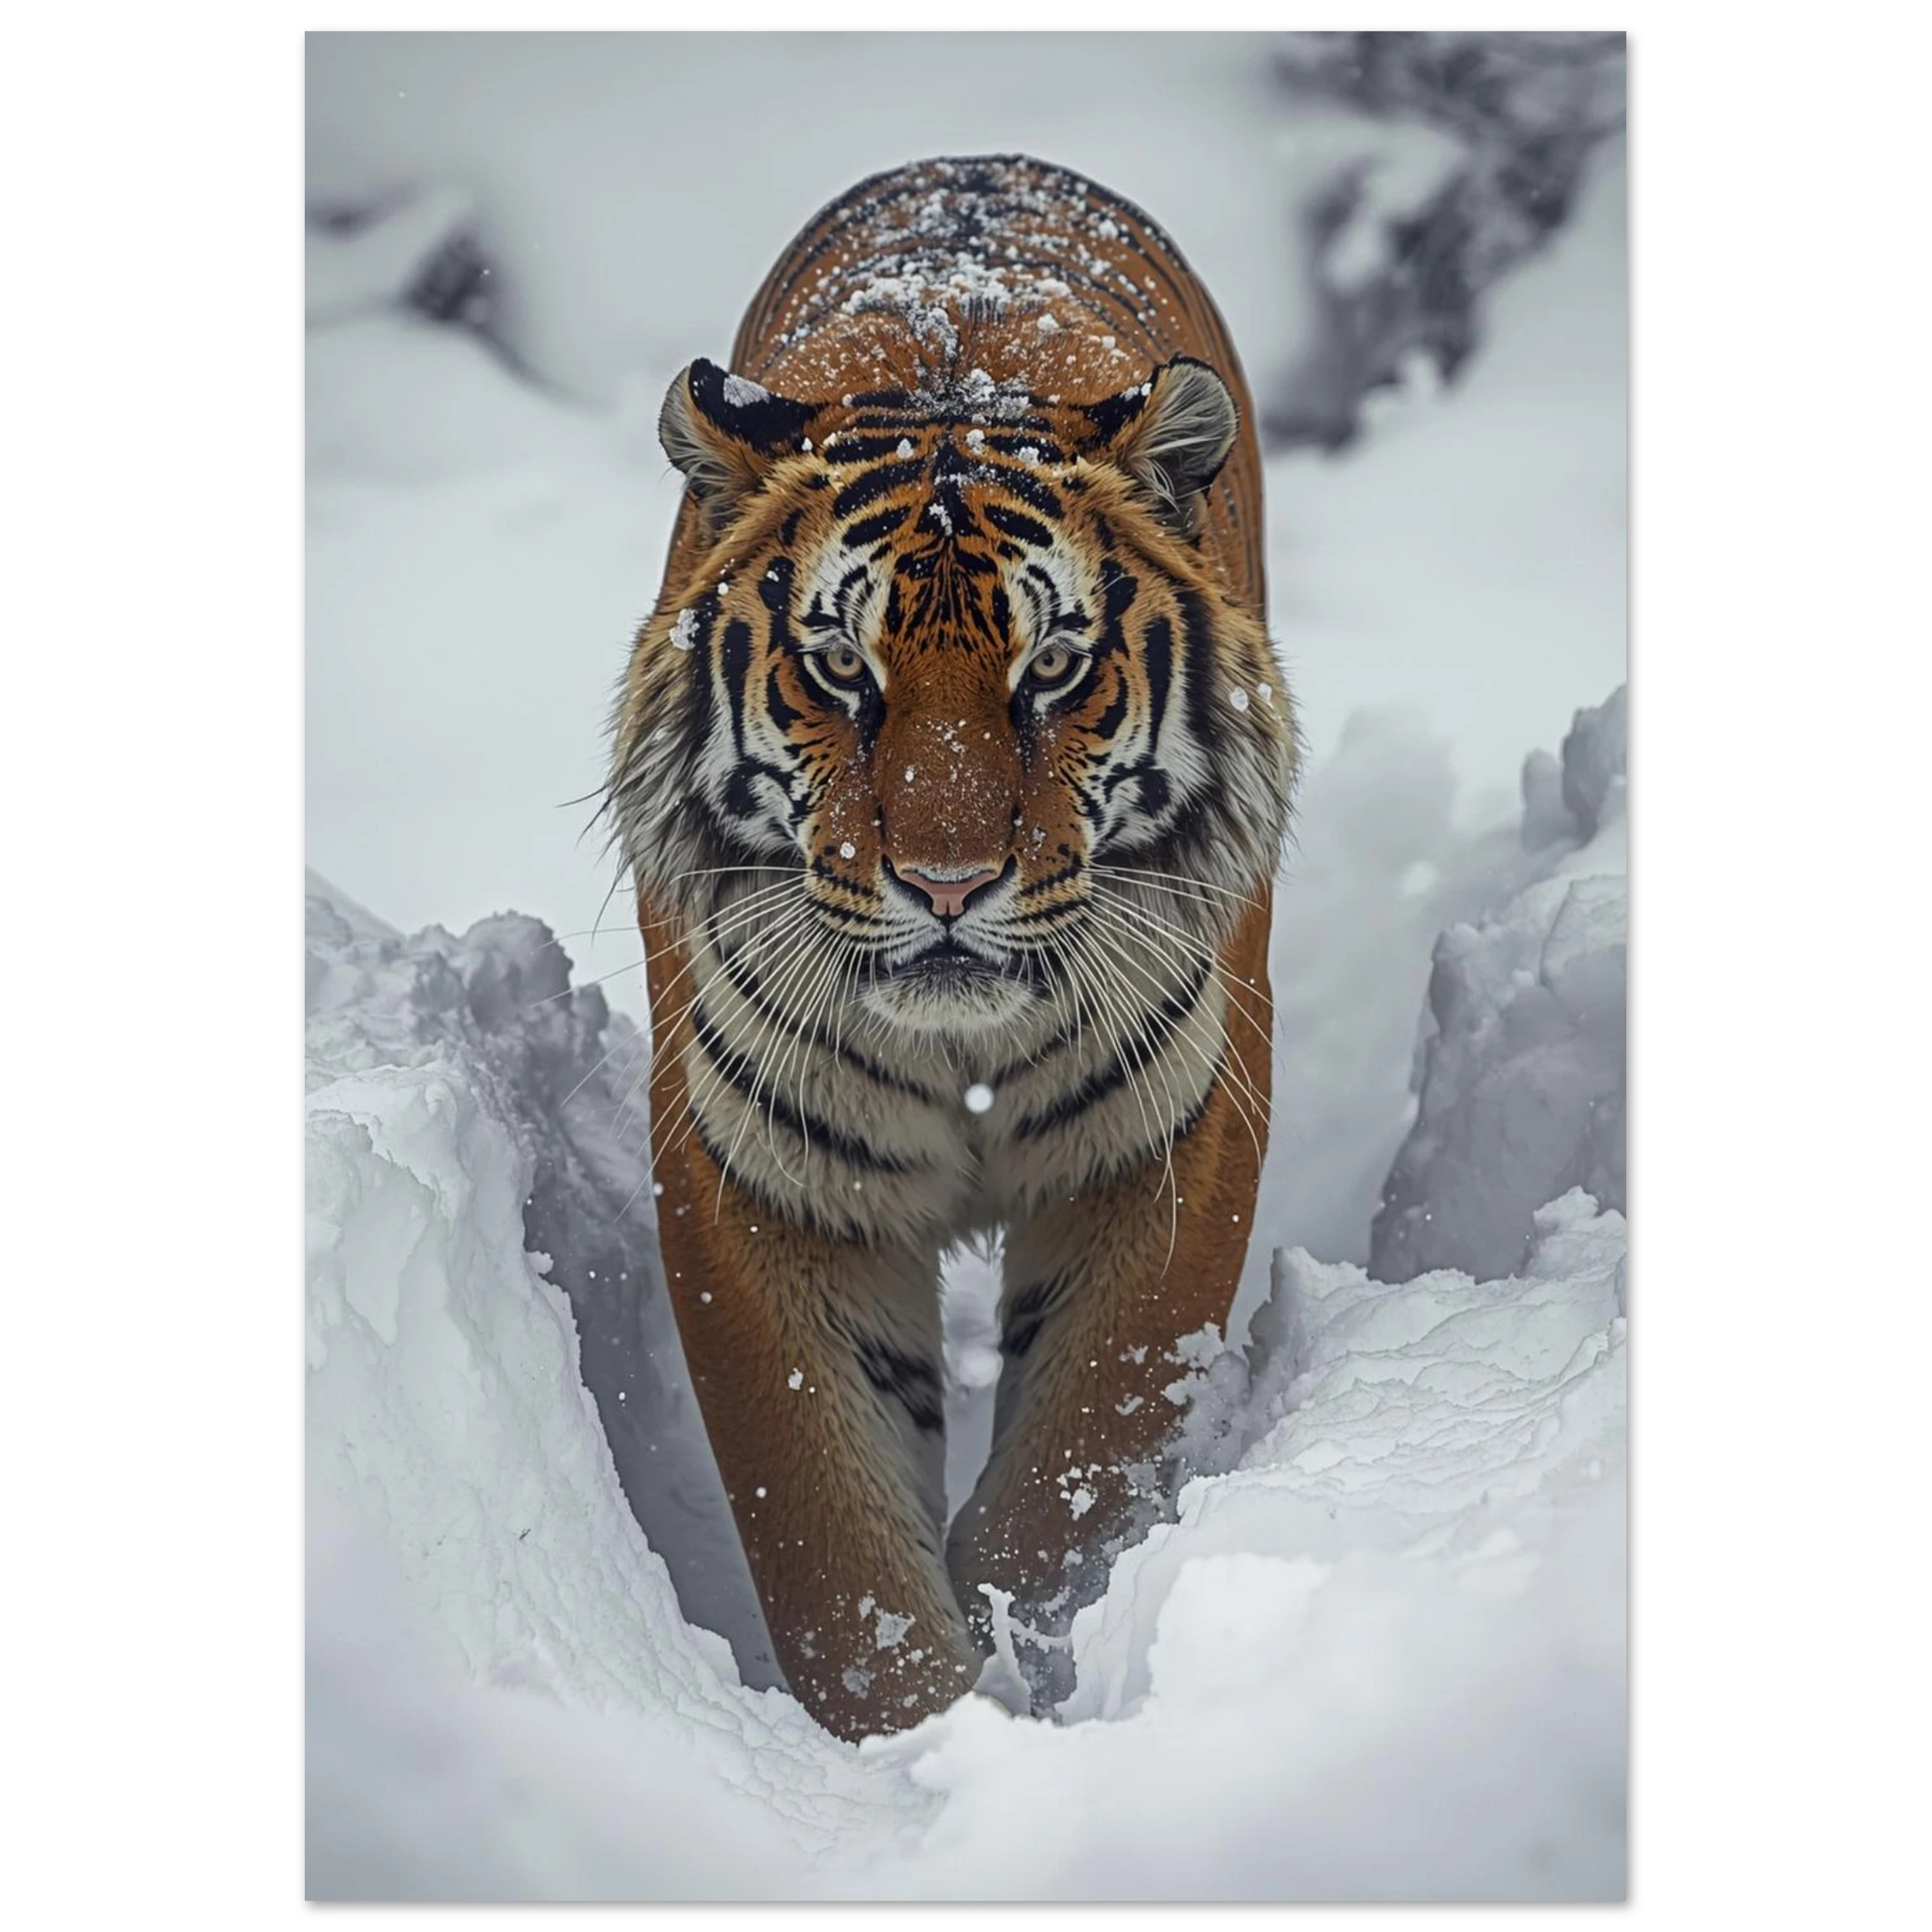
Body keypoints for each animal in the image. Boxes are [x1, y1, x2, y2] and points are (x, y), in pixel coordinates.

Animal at [605, 154, 1297, 1742]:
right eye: (838, 668)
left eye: (1051, 667)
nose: (943, 882)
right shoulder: (757, 1174)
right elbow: (825, 1533)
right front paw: (917, 1732)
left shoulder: (1169, 1137)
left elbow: (1076, 1459)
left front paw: (1017, 1649)